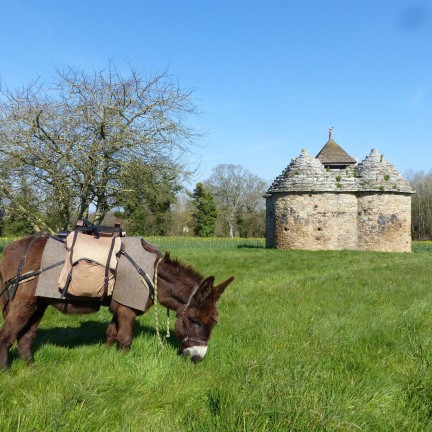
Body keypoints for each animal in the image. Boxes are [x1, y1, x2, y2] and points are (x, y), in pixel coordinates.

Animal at [0, 234, 234, 370]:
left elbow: (111, 334)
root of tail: (10, 248)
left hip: (39, 304)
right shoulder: (127, 310)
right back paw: (6, 370)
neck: (152, 272)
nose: (198, 359)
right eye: (195, 320)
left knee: (26, 336)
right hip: (23, 302)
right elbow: (125, 340)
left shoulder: (118, 309)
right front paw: (123, 366)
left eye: (214, 323)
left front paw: (108, 359)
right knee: (6, 336)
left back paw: (31, 367)